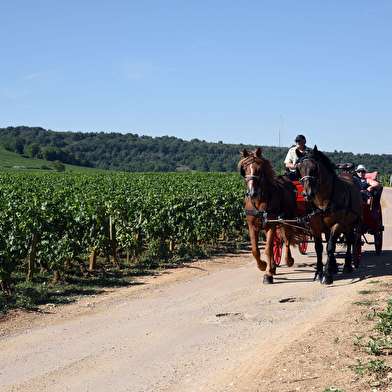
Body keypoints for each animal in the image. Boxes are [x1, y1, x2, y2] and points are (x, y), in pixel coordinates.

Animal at [237, 147, 298, 282]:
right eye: (244, 169)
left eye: (259, 169)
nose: (252, 192)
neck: (259, 200)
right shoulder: (252, 225)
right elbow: (255, 250)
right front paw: (264, 266)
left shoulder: (272, 224)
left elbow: (268, 249)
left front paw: (268, 274)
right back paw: (273, 265)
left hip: (288, 219)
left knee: (287, 239)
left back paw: (289, 260)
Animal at [298, 145, 362, 284]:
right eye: (299, 168)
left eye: (315, 167)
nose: (308, 194)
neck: (322, 200)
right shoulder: (314, 226)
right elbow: (319, 248)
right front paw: (318, 273)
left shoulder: (337, 223)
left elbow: (331, 247)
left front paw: (327, 275)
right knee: (328, 240)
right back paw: (334, 266)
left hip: (350, 222)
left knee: (350, 240)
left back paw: (347, 266)